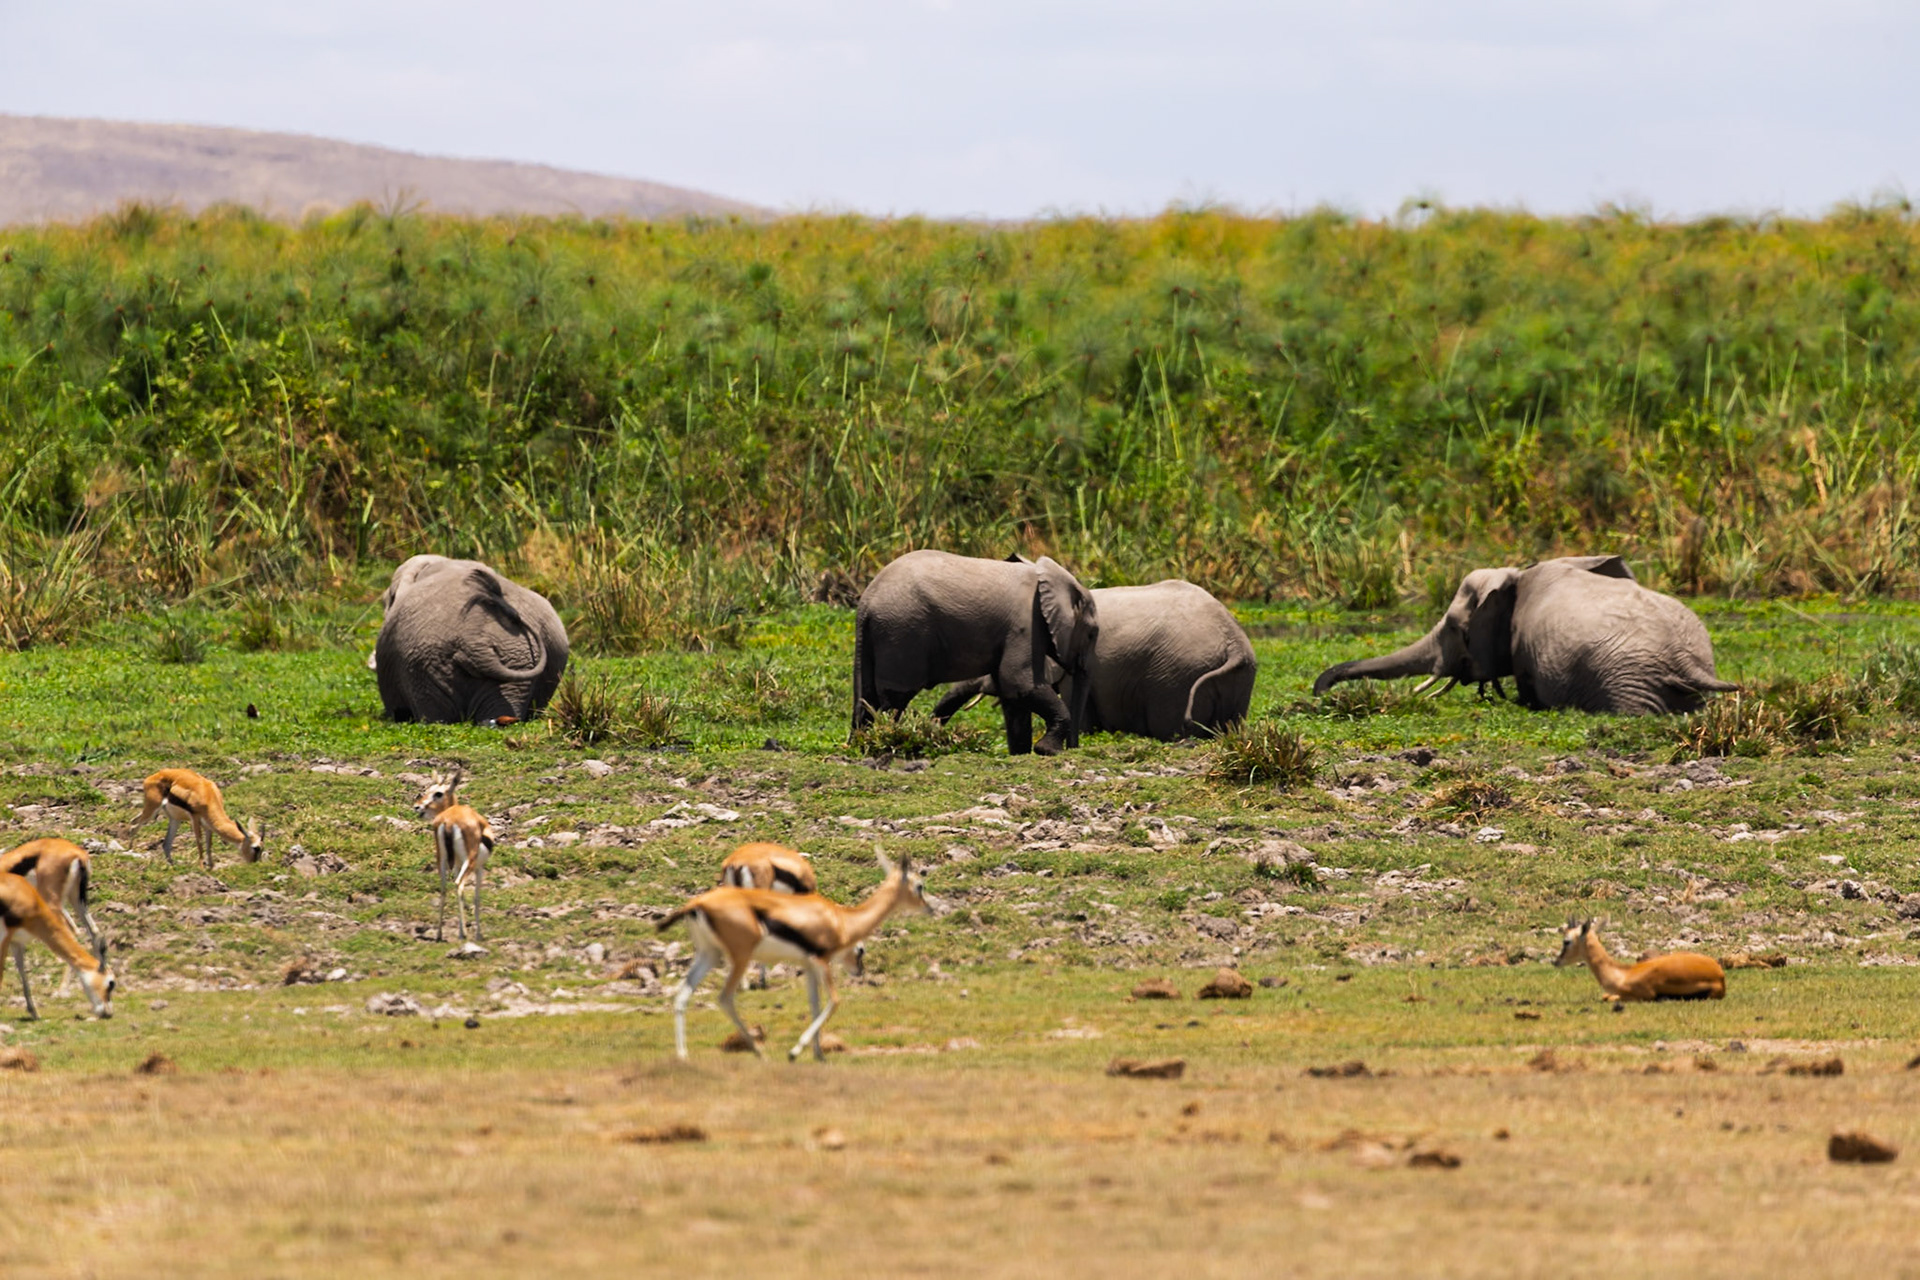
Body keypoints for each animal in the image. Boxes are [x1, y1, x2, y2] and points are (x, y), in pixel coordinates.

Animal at [851, 550, 1099, 755]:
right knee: (895, 698)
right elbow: (1019, 683)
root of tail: (866, 602)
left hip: (878, 635)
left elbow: (1012, 695)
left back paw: (861, 747)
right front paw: (1048, 751)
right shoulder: (1025, 624)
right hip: (903, 630)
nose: (1074, 749)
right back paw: (888, 743)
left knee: (867, 697)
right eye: (1092, 634)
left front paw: (1023, 753)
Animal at [1312, 554, 1736, 715]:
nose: (1318, 693)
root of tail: (1686, 660)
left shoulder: (1525, 648)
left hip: (1629, 680)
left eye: (1455, 629)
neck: (1517, 572)